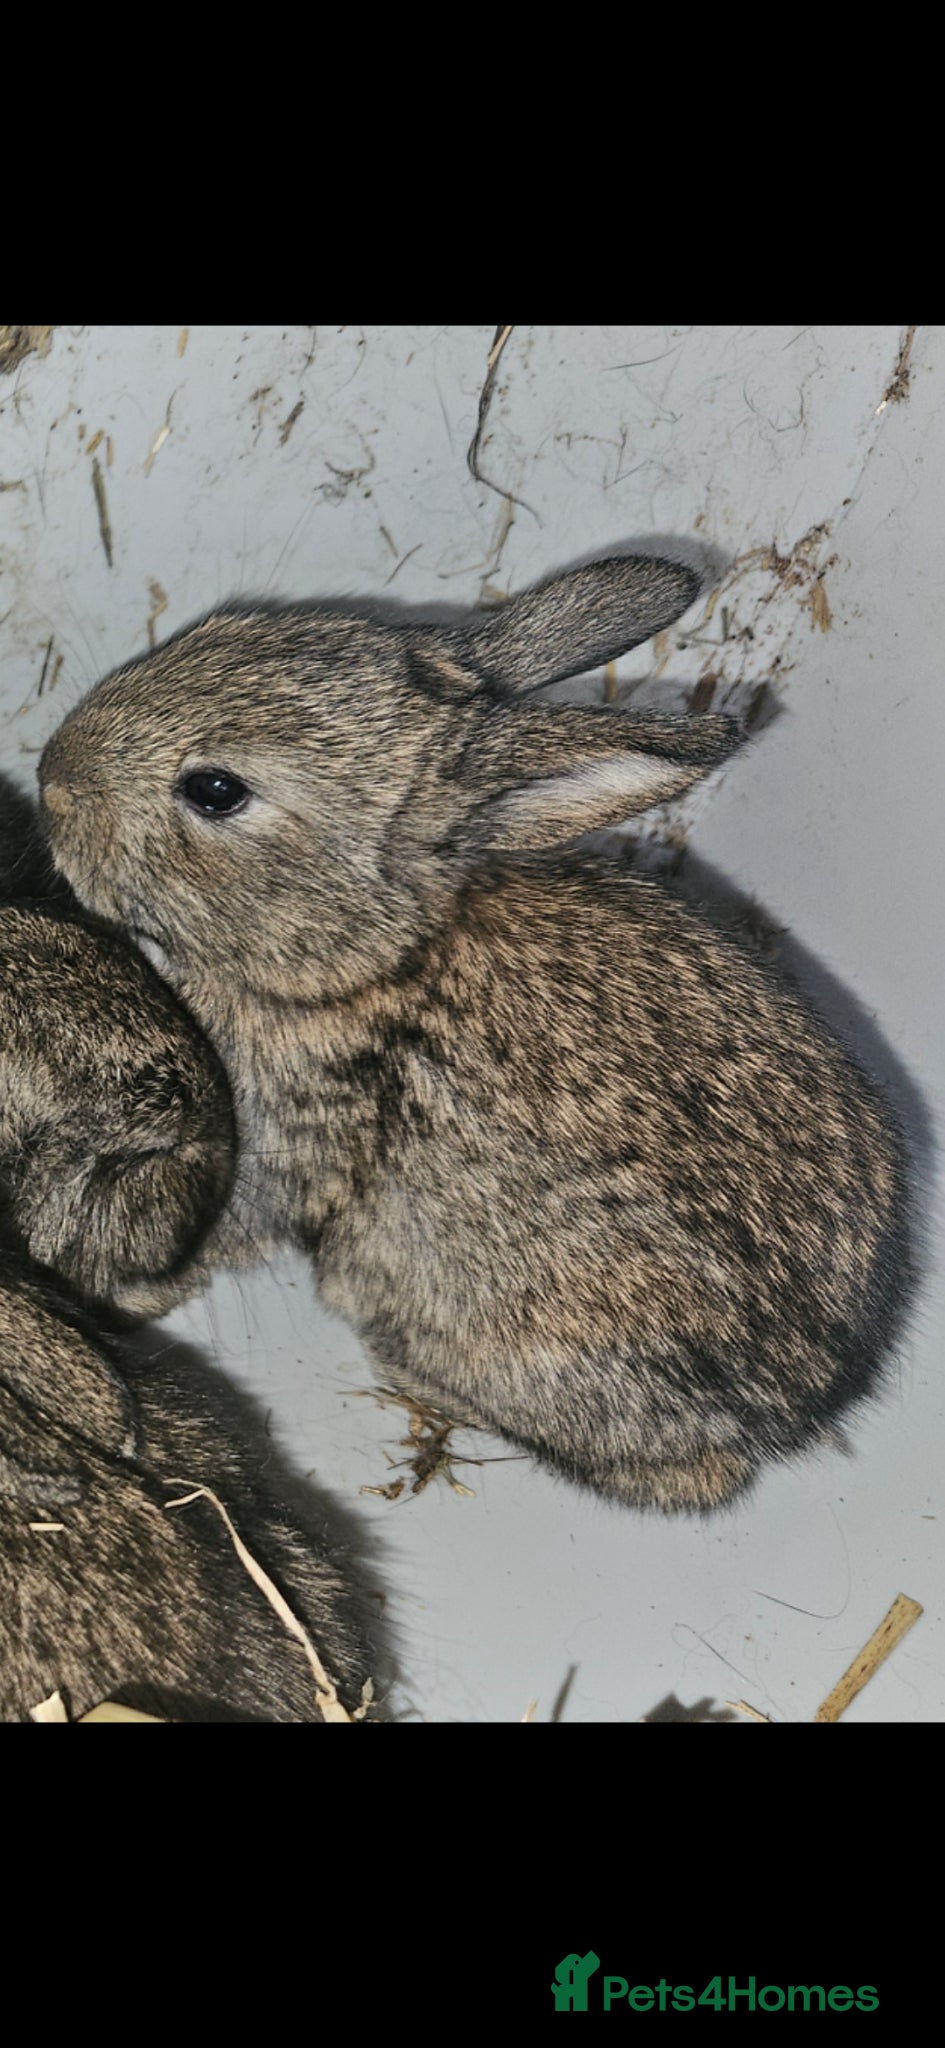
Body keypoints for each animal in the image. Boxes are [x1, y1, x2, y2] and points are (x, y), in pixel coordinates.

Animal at [37, 552, 911, 1512]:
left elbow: (224, 1223)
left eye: (215, 790)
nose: (50, 778)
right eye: (220, 627)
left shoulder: (279, 1136)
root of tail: (803, 1413)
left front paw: (123, 1296)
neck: (368, 962)